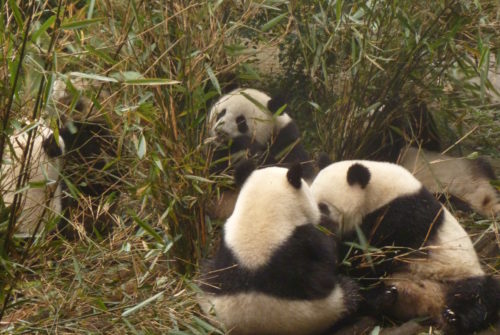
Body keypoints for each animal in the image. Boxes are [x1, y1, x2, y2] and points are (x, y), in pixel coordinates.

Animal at [310, 161, 498, 334]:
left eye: (322, 207)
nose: (315, 226)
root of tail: (431, 304)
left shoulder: (403, 215)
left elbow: (376, 254)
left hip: (459, 275)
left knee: (481, 294)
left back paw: (455, 317)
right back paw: (384, 297)